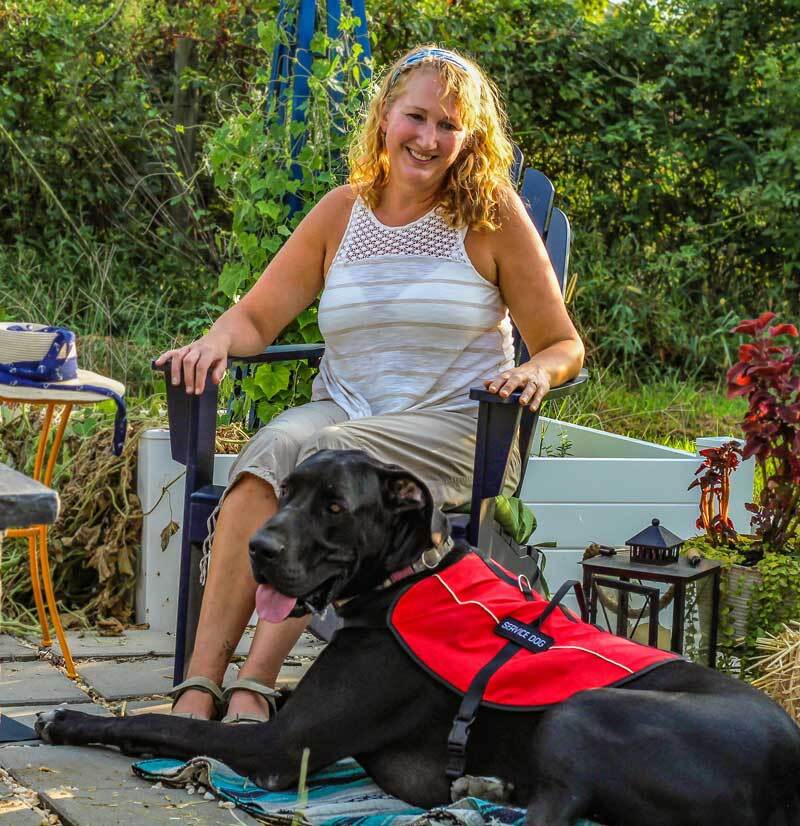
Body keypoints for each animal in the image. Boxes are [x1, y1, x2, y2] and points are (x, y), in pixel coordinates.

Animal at [36, 450, 800, 824]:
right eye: (285, 493)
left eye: (334, 507)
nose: (256, 547)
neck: (406, 577)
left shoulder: (281, 748)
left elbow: (172, 727)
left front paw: (68, 719)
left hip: (580, 712)